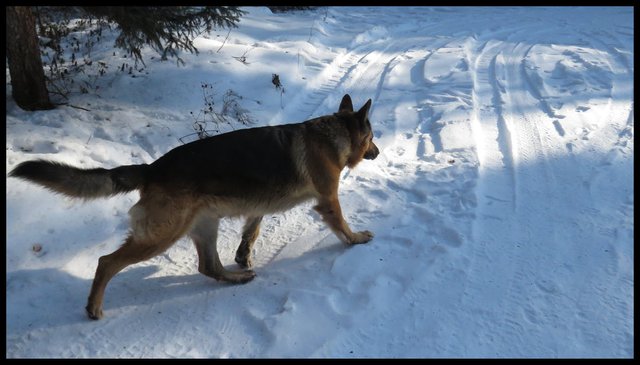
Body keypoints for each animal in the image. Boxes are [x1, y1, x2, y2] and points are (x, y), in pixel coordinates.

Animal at [8, 94, 380, 318]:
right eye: (373, 136)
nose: (377, 152)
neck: (332, 134)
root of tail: (152, 168)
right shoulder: (328, 200)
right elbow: (342, 224)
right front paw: (356, 239)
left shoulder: (259, 202)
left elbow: (252, 230)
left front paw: (243, 256)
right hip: (162, 235)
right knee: (106, 262)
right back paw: (94, 307)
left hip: (204, 225)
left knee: (209, 267)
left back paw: (237, 277)